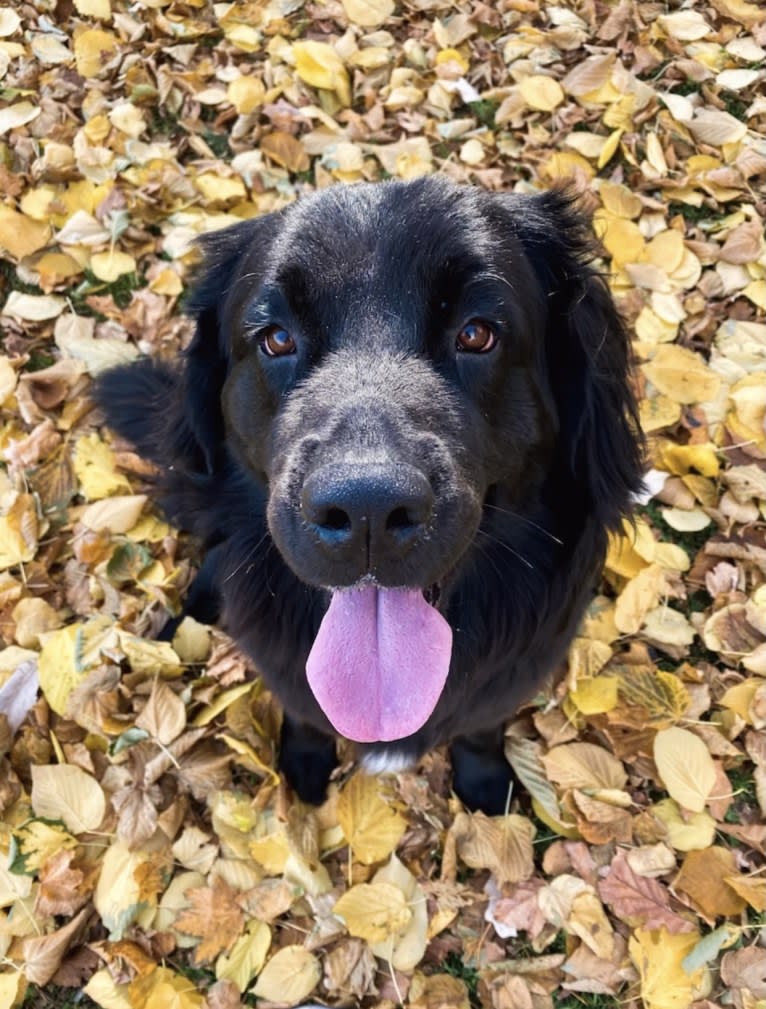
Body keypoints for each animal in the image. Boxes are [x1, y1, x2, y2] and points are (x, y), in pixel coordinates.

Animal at [98, 179, 645, 811]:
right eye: (276, 338)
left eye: (477, 333)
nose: (367, 510)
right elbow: (305, 714)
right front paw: (305, 763)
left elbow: (481, 729)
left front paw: (484, 784)